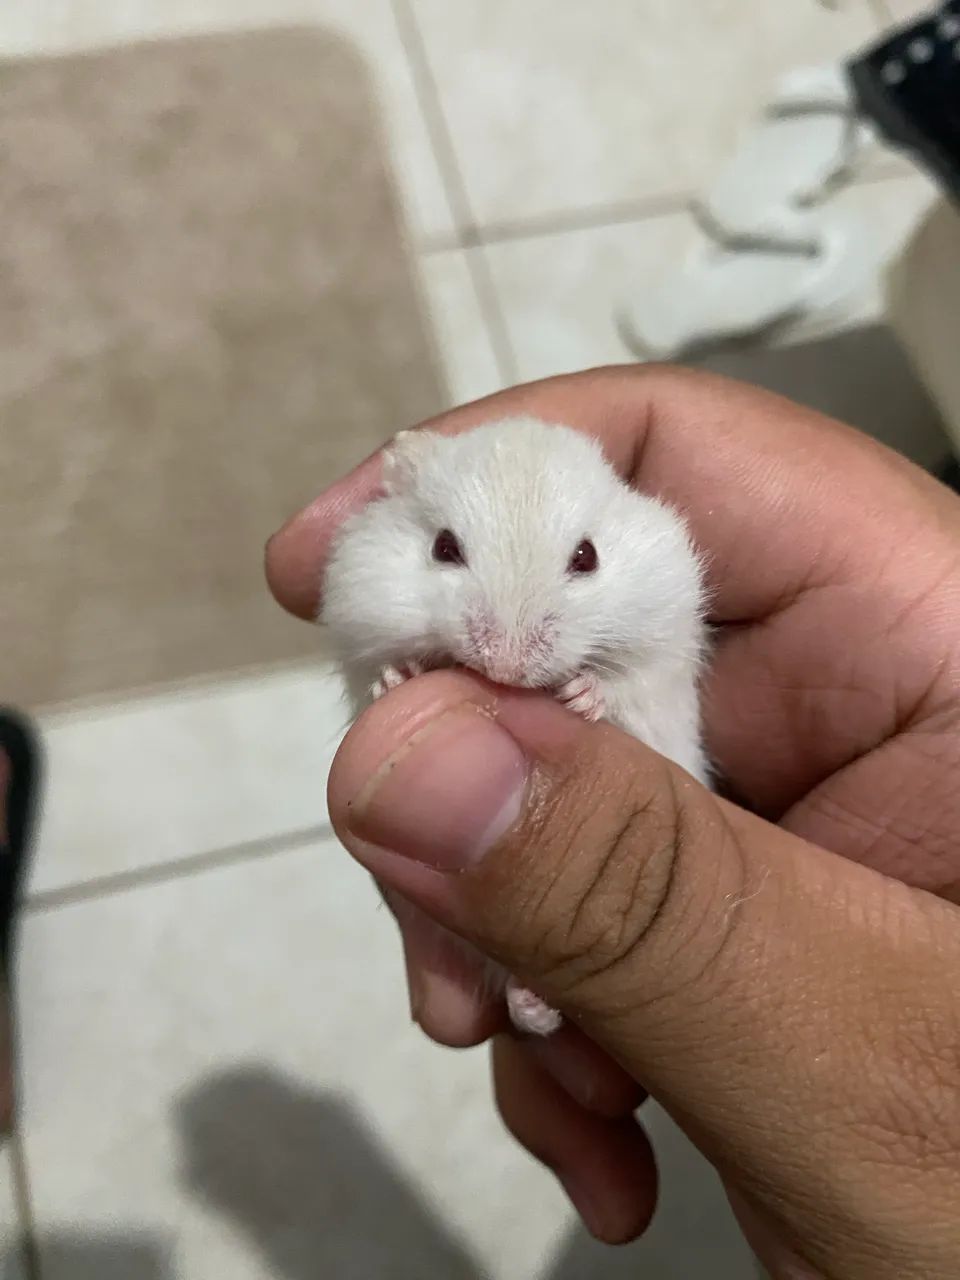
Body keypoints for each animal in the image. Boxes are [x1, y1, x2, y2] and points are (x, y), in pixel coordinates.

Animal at [323, 416, 709, 1037]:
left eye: (587, 556)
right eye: (444, 547)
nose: (504, 668)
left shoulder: (663, 651)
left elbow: (627, 686)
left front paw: (581, 696)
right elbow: (377, 672)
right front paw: (400, 678)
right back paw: (531, 1006)